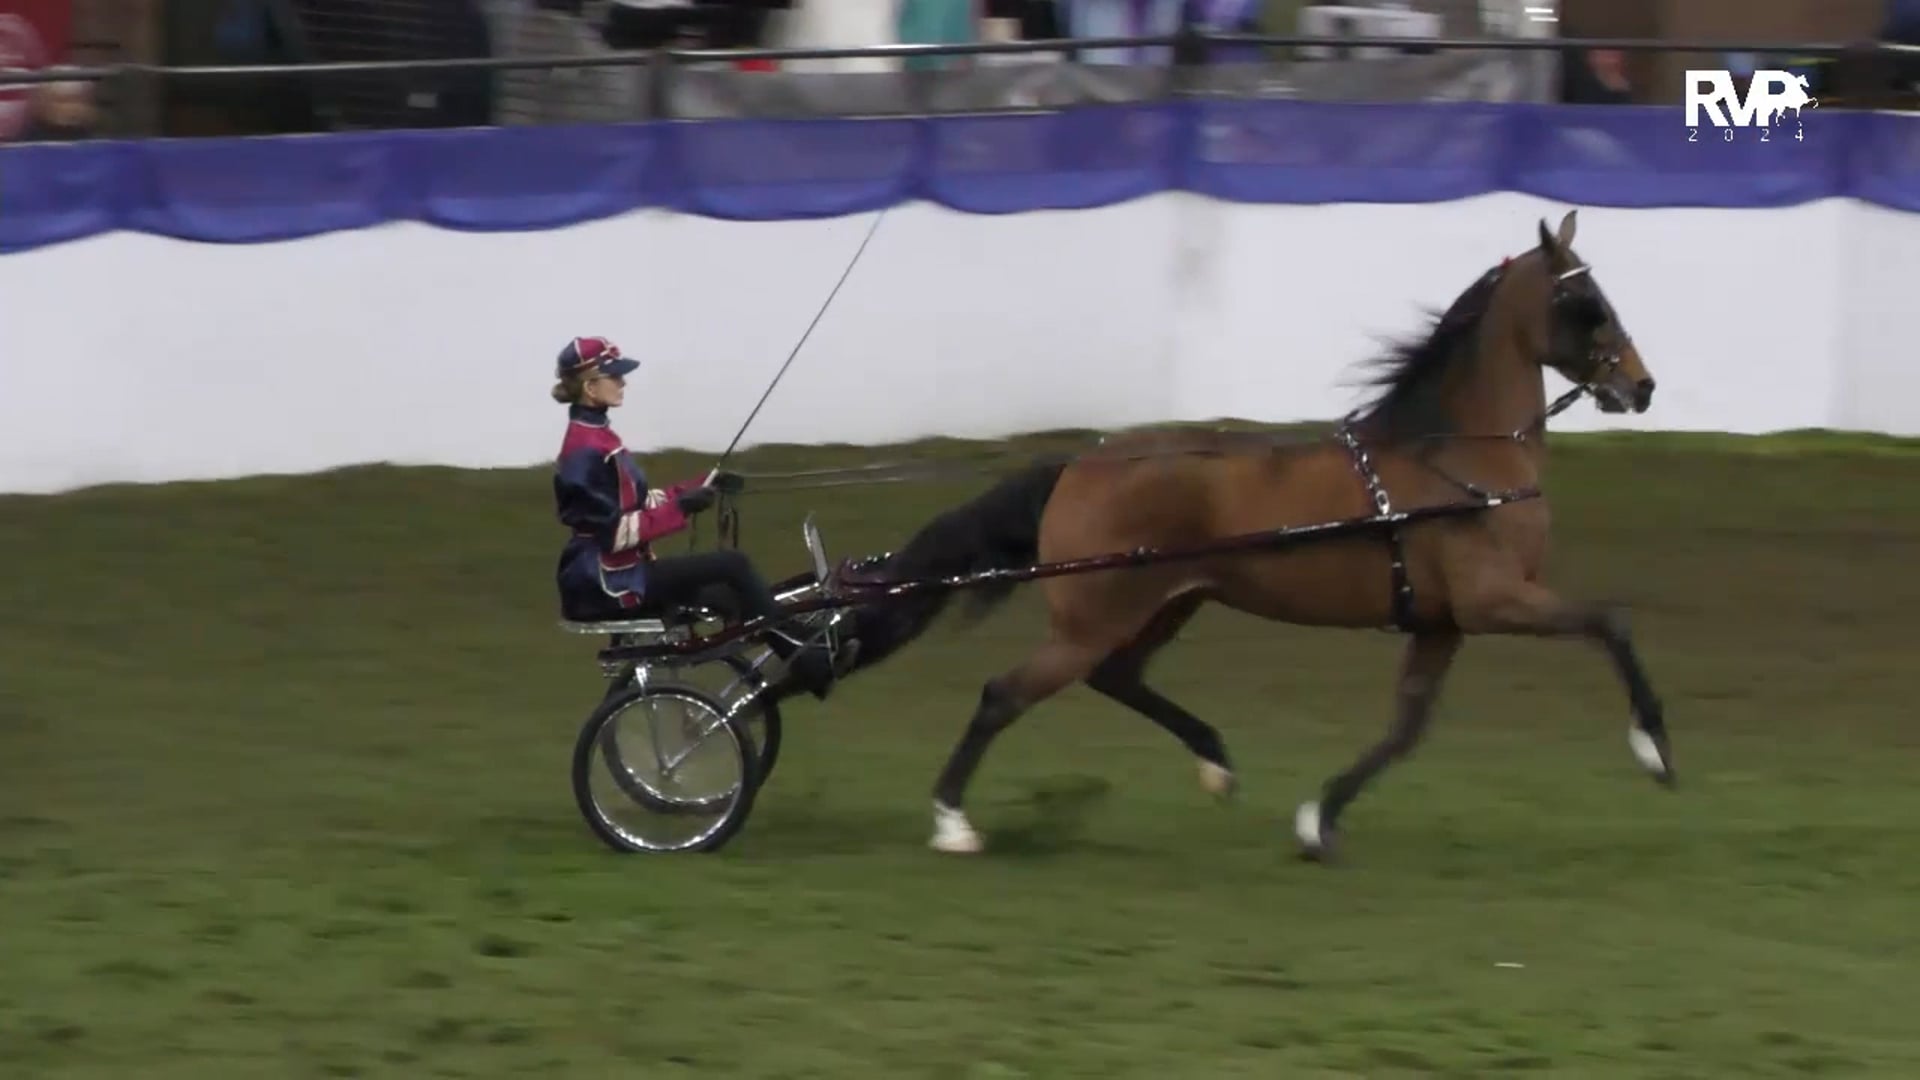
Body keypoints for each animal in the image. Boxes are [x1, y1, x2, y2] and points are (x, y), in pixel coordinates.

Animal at [831, 209, 1667, 859]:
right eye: (1586, 301)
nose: (1642, 385)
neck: (1458, 458)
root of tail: (1082, 463)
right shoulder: (1496, 600)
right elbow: (1612, 622)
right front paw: (1654, 747)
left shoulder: (1441, 622)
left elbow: (1406, 727)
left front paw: (1319, 819)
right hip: (1094, 614)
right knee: (1005, 693)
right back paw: (952, 822)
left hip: (1167, 602)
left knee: (1115, 676)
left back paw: (1215, 761)